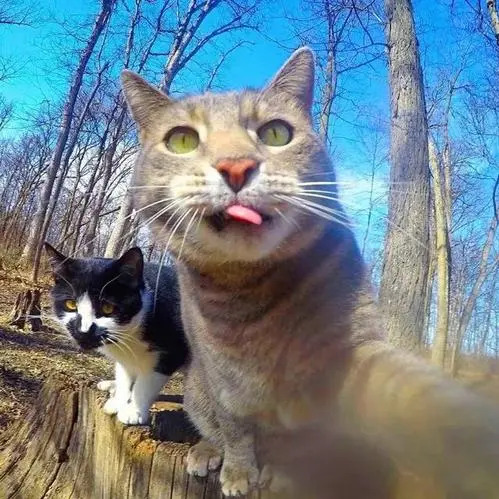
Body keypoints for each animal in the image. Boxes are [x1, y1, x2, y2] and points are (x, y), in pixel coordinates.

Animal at [44, 243, 189, 425]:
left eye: (108, 308)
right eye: (70, 304)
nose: (84, 330)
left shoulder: (174, 349)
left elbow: (148, 380)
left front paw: (133, 411)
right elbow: (124, 373)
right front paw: (118, 401)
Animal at [121, 48, 499, 497]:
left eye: (276, 133)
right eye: (181, 140)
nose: (236, 166)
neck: (250, 290)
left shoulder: (346, 350)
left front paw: (283, 473)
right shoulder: (221, 373)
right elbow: (235, 428)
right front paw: (238, 472)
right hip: (197, 388)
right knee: (211, 426)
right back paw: (205, 454)